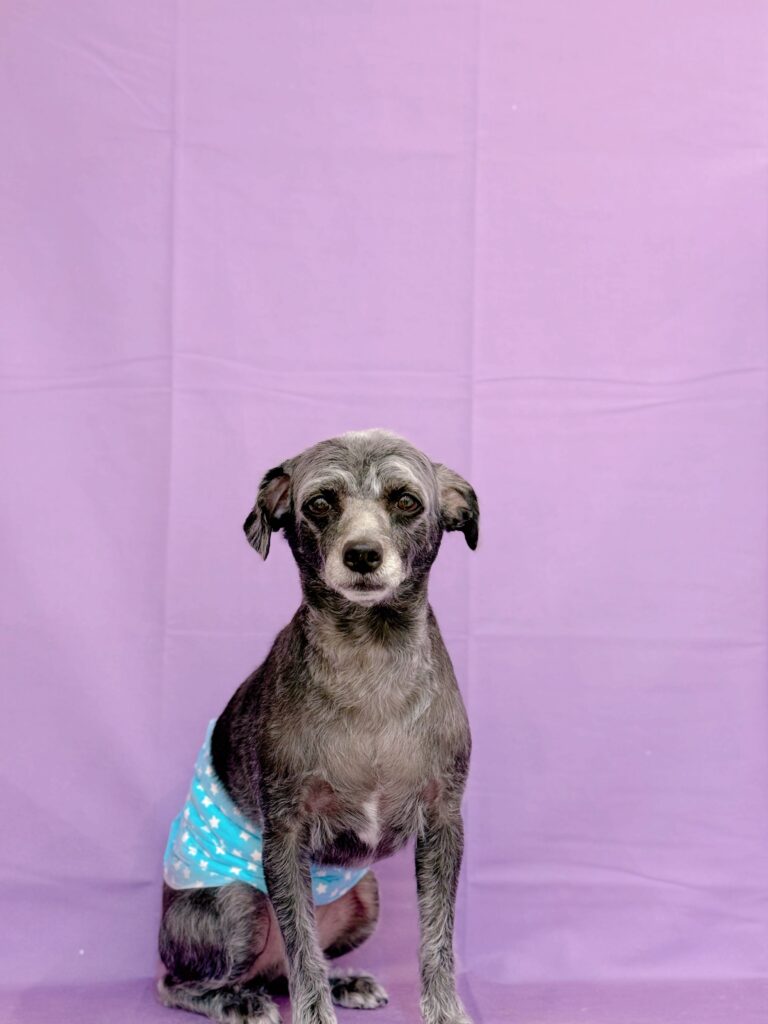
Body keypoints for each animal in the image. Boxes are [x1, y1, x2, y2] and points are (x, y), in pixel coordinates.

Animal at [157, 428, 479, 1024]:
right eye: (320, 504)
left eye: (406, 501)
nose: (363, 554)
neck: (371, 659)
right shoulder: (285, 836)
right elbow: (302, 949)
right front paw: (315, 1013)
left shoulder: (444, 822)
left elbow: (436, 940)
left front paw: (446, 1012)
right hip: (235, 907)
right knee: (180, 981)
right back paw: (238, 1000)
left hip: (366, 895)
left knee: (288, 966)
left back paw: (344, 981)